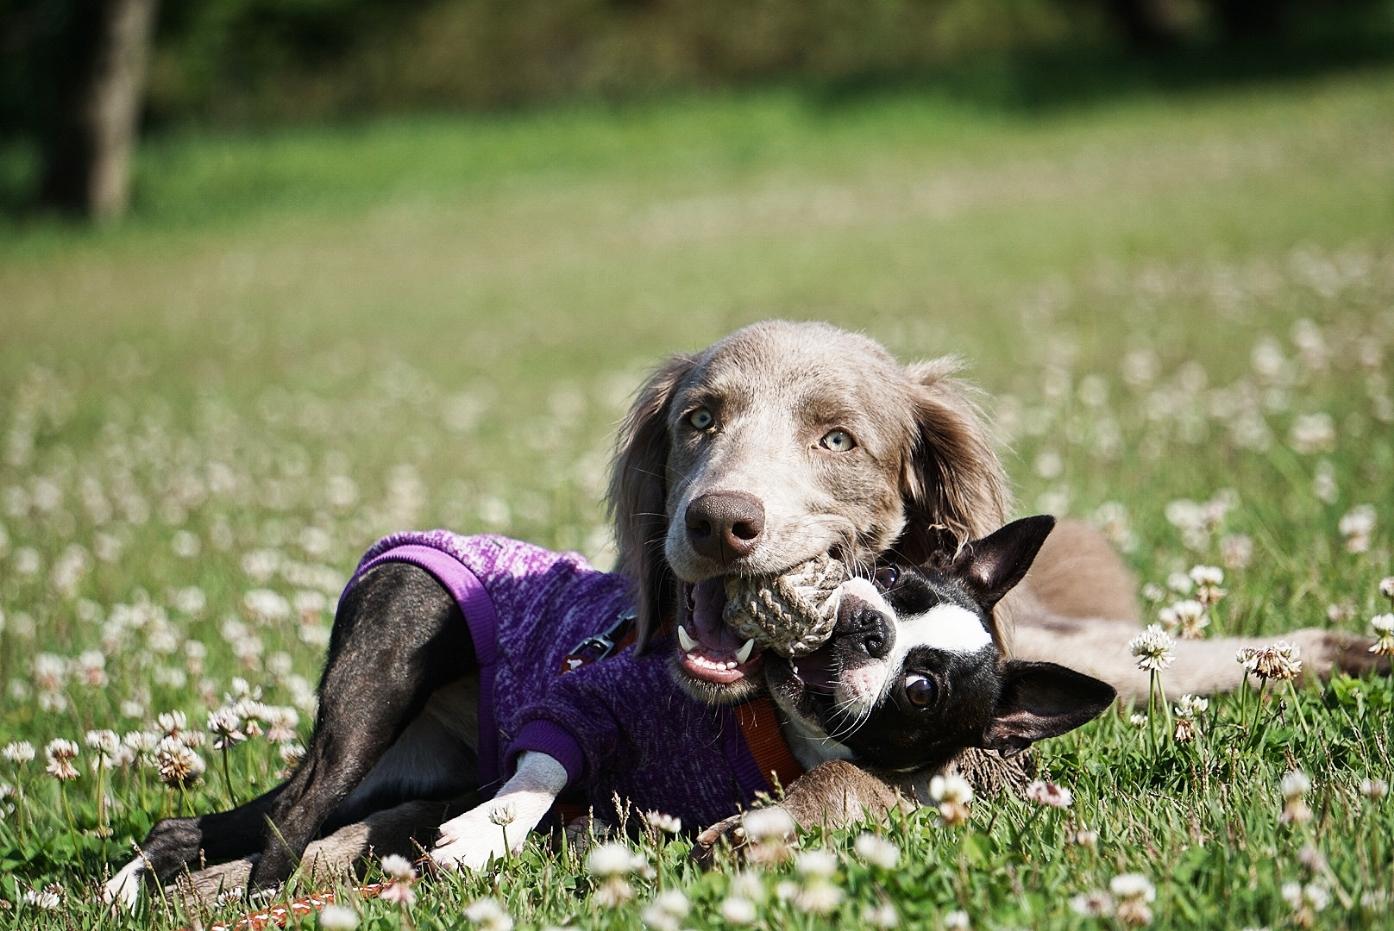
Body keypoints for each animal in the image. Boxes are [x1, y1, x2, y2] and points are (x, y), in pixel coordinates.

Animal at [105, 515, 1109, 903]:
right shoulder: (593, 692)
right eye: (897, 581)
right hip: (376, 700)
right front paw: (490, 834)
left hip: (399, 761)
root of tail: (399, 544)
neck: (765, 720)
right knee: (292, 811)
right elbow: (549, 761)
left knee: (247, 815)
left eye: (921, 686)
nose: (866, 625)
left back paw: (146, 880)